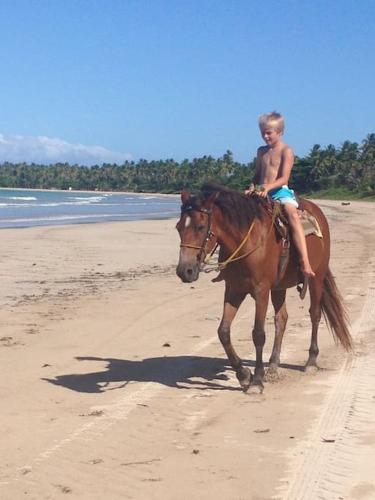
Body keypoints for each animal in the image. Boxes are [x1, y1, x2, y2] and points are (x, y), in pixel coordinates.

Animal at [176, 182, 352, 392]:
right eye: (178, 227)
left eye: (200, 227)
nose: (184, 271)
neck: (246, 239)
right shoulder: (234, 289)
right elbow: (223, 332)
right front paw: (244, 374)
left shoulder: (261, 291)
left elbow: (258, 334)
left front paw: (256, 380)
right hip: (279, 288)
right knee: (281, 319)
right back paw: (274, 365)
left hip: (316, 278)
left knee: (315, 314)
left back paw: (311, 361)